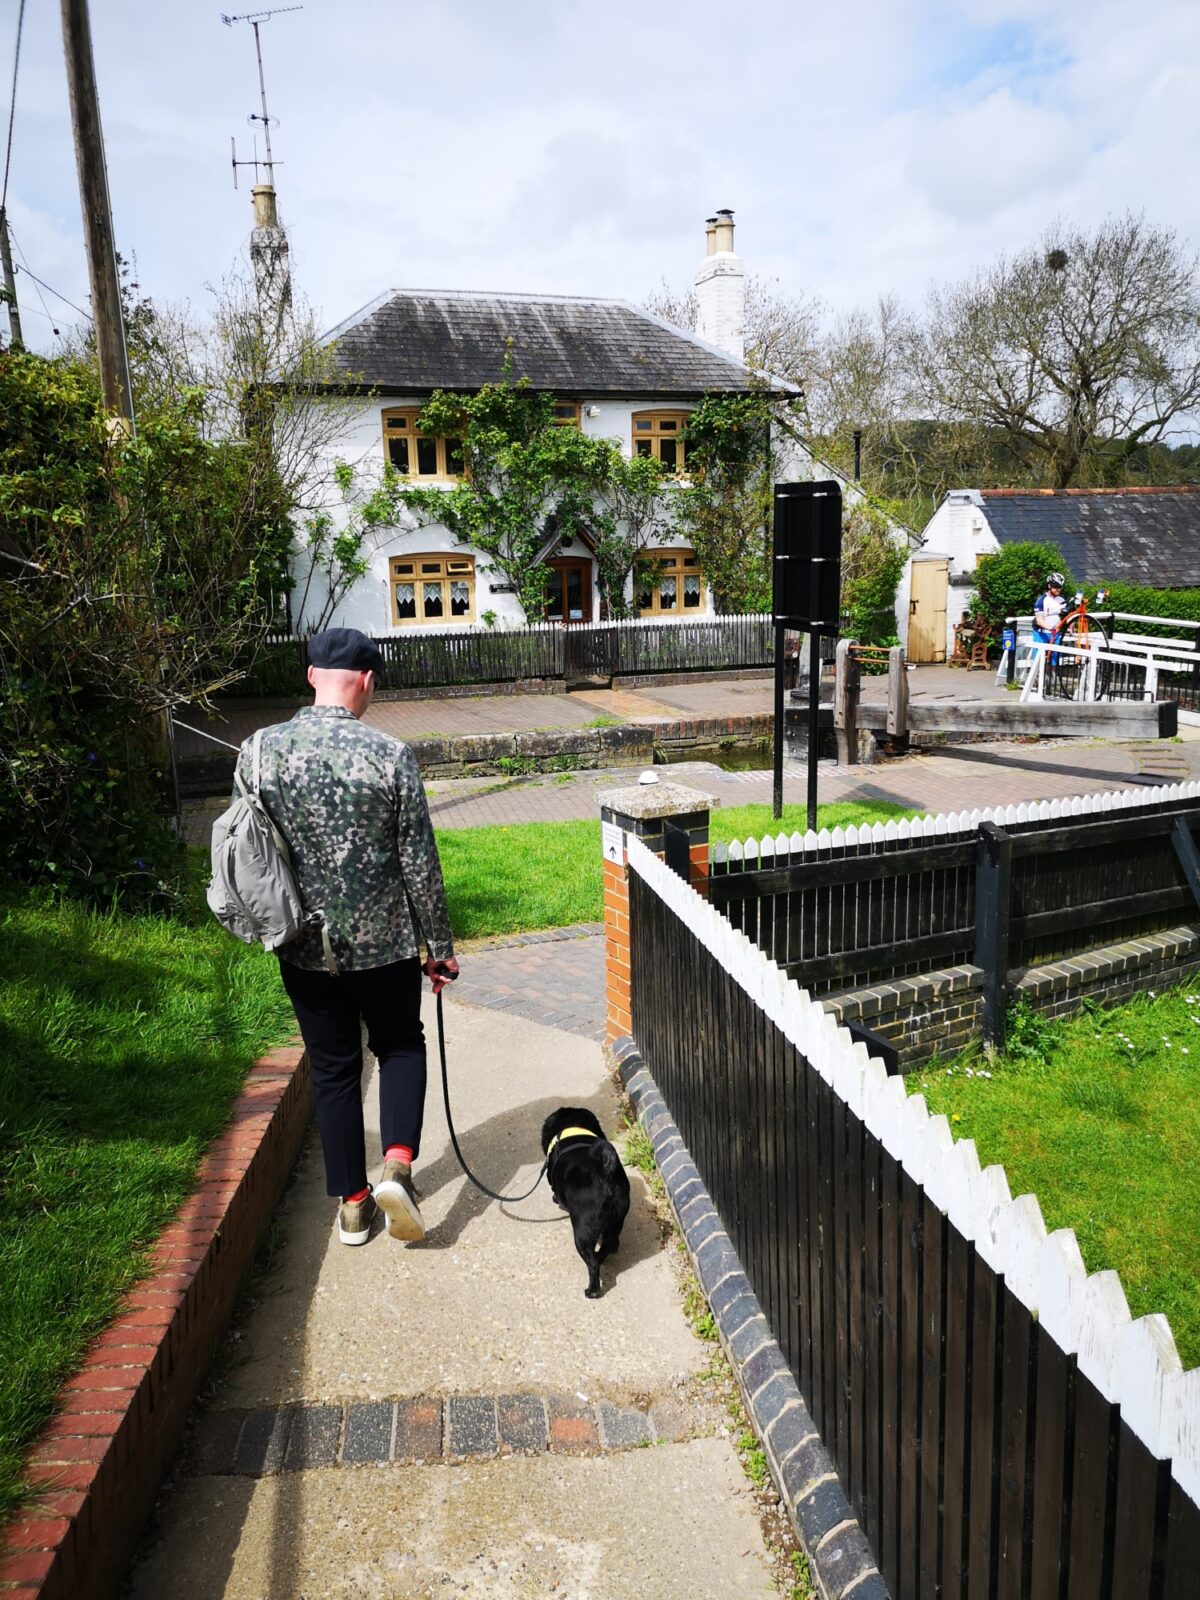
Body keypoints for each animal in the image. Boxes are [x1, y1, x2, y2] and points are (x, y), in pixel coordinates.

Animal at [544, 1113, 633, 1299]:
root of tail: (606, 1173)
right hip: (615, 1223)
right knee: (607, 1245)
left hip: (583, 1234)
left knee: (592, 1264)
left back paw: (593, 1290)